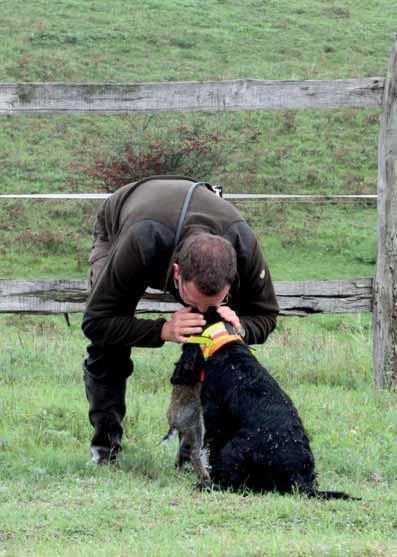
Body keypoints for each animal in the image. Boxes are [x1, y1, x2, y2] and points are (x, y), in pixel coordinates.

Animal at [172, 318, 358, 500]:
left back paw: (206, 485)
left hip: (232, 449)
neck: (226, 348)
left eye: (185, 349)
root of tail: (302, 481)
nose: (174, 377)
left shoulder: (214, 420)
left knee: (236, 485)